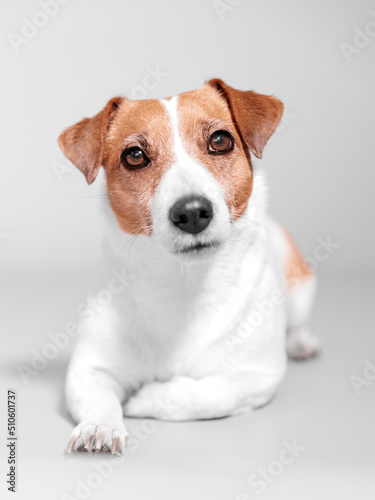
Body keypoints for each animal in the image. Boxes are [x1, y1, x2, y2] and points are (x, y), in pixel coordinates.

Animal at [58, 77, 320, 454]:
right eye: (134, 156)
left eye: (220, 140)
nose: (193, 211)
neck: (183, 285)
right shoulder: (88, 368)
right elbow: (99, 398)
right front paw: (100, 426)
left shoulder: (259, 375)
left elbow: (211, 393)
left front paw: (146, 397)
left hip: (300, 286)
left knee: (297, 322)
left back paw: (301, 342)